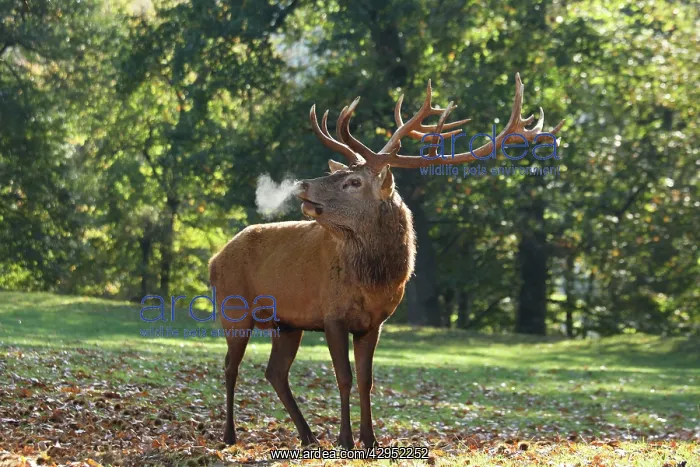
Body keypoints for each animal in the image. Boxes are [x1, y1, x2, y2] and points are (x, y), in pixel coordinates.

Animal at [208, 73, 564, 449]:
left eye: (353, 181)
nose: (302, 184)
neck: (375, 282)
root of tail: (215, 259)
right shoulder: (332, 314)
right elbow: (344, 376)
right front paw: (346, 439)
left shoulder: (374, 323)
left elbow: (366, 380)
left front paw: (370, 439)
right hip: (234, 308)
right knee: (230, 366)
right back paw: (230, 434)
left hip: (286, 323)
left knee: (275, 371)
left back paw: (308, 436)